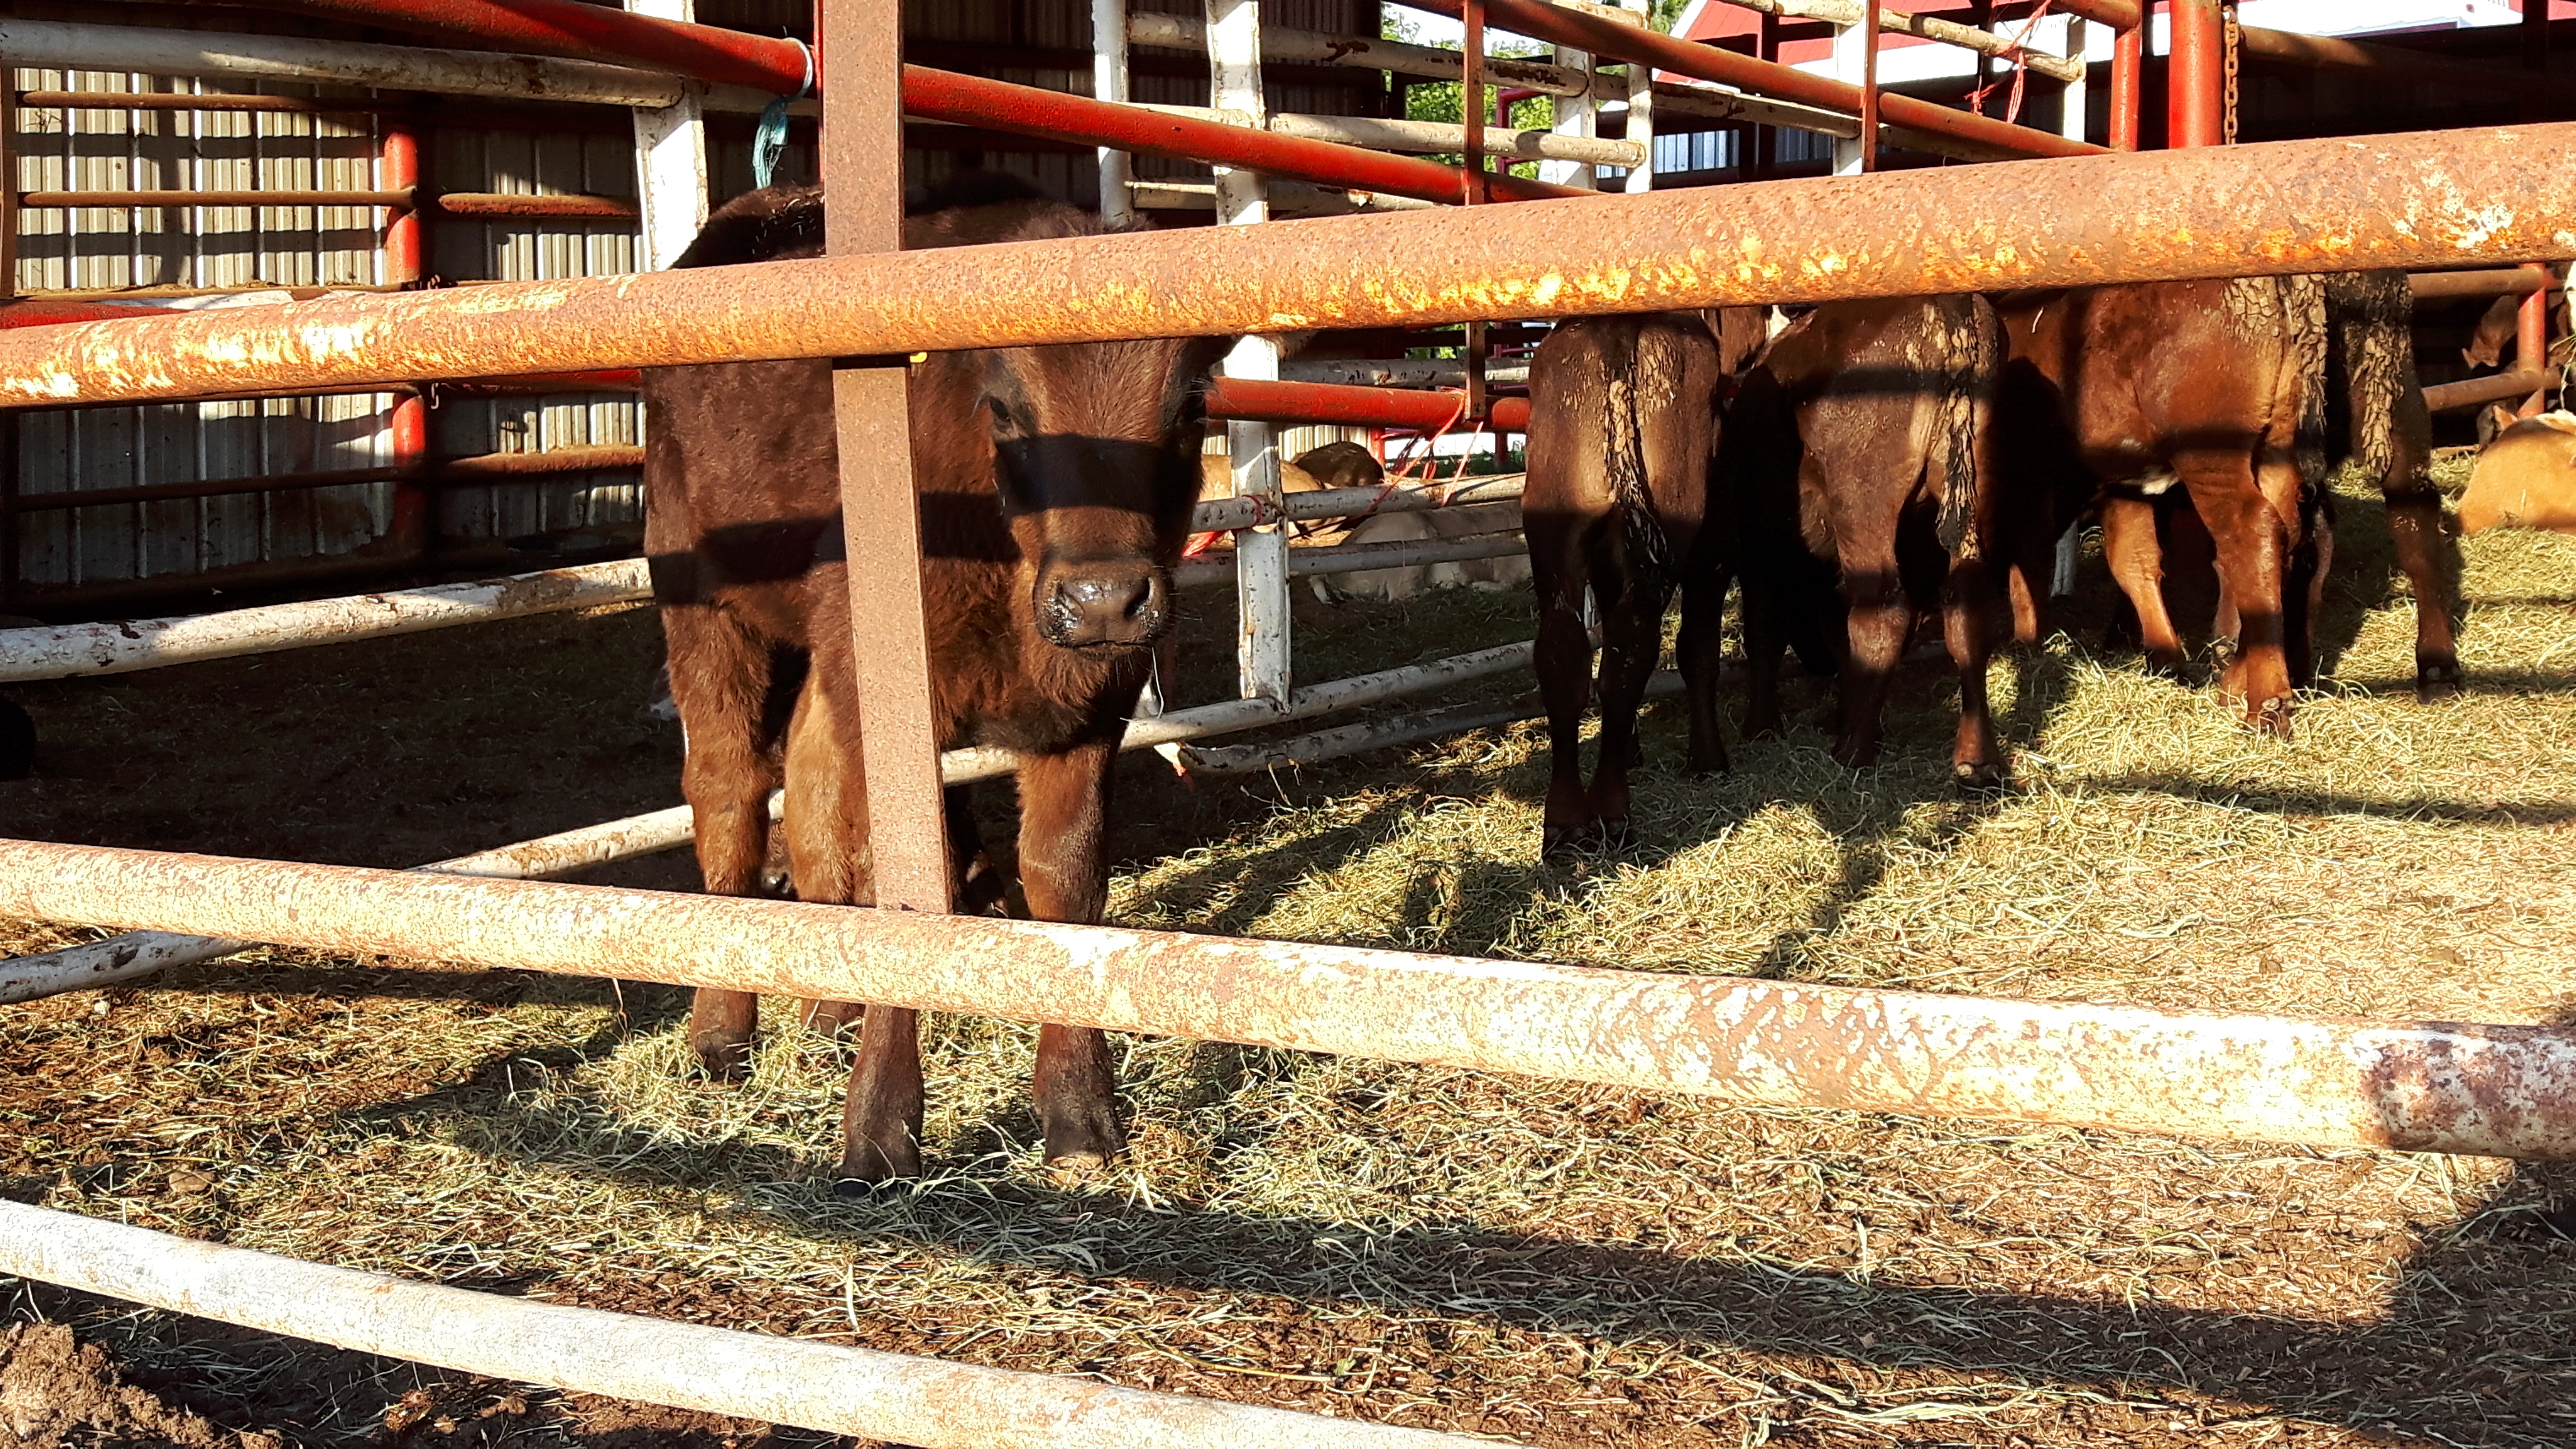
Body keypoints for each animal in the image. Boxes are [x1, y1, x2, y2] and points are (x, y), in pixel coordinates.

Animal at [642, 178, 1224, 1186]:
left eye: (1189, 407)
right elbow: (913, 879)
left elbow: (1063, 878)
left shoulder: (1092, 708)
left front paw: (1079, 1113)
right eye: (1005, 408)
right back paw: (721, 1030)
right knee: (728, 787)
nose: (1104, 599)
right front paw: (878, 1128)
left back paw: (827, 1009)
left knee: (810, 776)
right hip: (700, 594)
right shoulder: (893, 705)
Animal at [1522, 313, 1729, 856]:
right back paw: (1613, 814)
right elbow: (1699, 650)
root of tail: (1617, 327)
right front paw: (1709, 759)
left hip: (1554, 528)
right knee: (1632, 647)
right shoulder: (1715, 549)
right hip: (1673, 526)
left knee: (1565, 649)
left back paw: (1565, 822)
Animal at [1723, 295, 2006, 785]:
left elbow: (1765, 630)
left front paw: (1761, 727)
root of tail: (1948, 303)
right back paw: (1977, 759)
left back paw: (1853, 749)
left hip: (1863, 503)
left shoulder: (1759, 549)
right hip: (1972, 493)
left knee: (1884, 612)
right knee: (1965, 606)